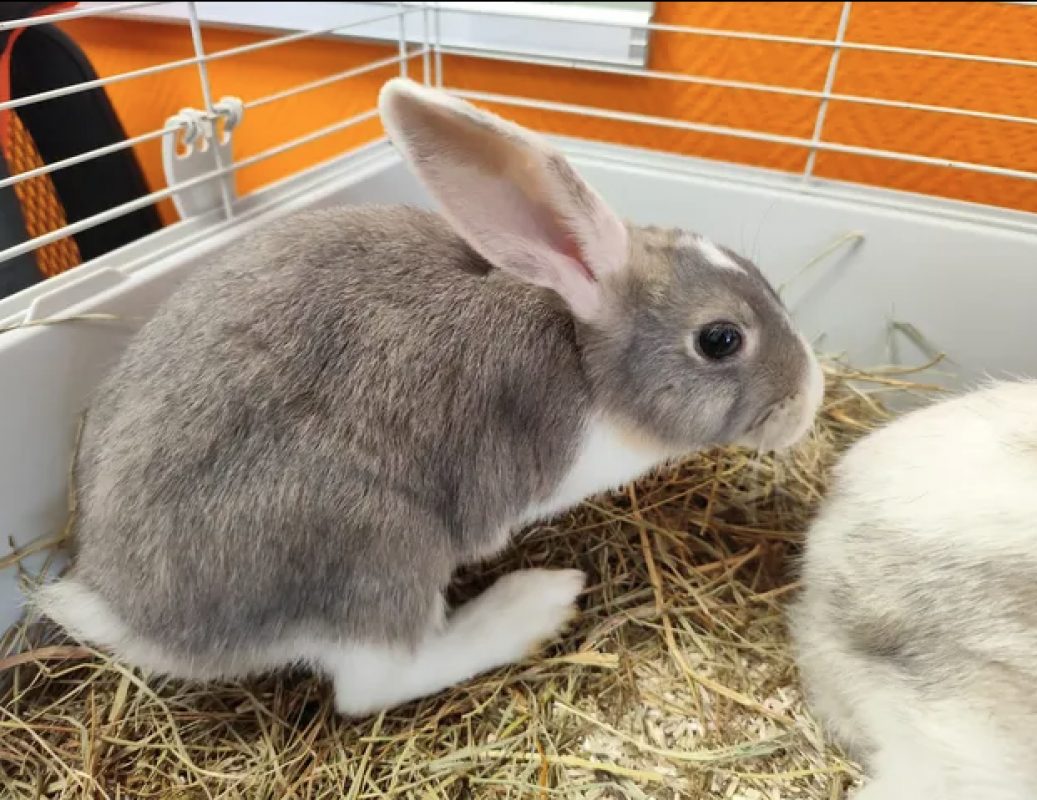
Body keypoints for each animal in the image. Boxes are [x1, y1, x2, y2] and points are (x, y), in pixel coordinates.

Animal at [35, 78, 823, 717]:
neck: (582, 353)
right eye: (720, 339)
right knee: (373, 684)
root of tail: (127, 612)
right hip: (381, 550)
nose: (810, 396)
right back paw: (533, 605)